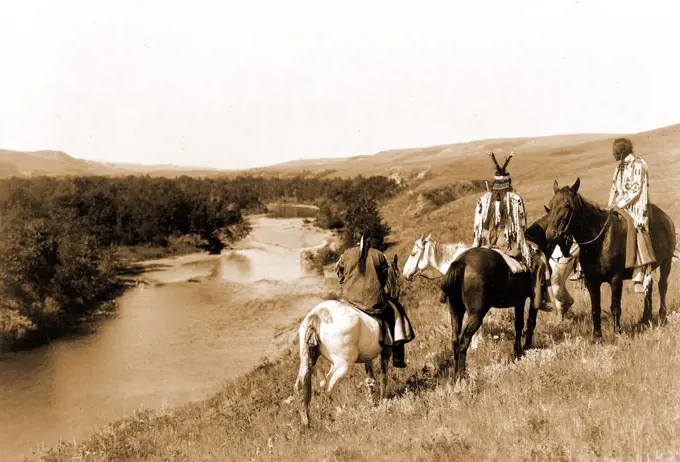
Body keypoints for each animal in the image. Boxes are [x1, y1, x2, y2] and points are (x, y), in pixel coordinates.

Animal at [294, 240, 402, 428]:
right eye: (397, 274)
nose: (397, 294)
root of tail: (316, 317)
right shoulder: (385, 351)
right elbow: (383, 375)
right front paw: (382, 399)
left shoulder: (367, 358)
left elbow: (370, 378)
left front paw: (373, 400)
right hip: (343, 363)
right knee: (327, 385)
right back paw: (339, 410)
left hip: (308, 358)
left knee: (304, 385)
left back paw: (307, 422)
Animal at [540, 178, 676, 340]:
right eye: (551, 204)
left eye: (567, 205)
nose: (550, 234)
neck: (599, 242)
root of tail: (665, 218)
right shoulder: (591, 281)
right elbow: (595, 308)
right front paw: (597, 335)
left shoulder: (615, 279)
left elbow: (615, 307)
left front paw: (617, 332)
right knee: (648, 287)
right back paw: (646, 318)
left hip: (667, 261)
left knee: (662, 285)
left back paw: (662, 314)